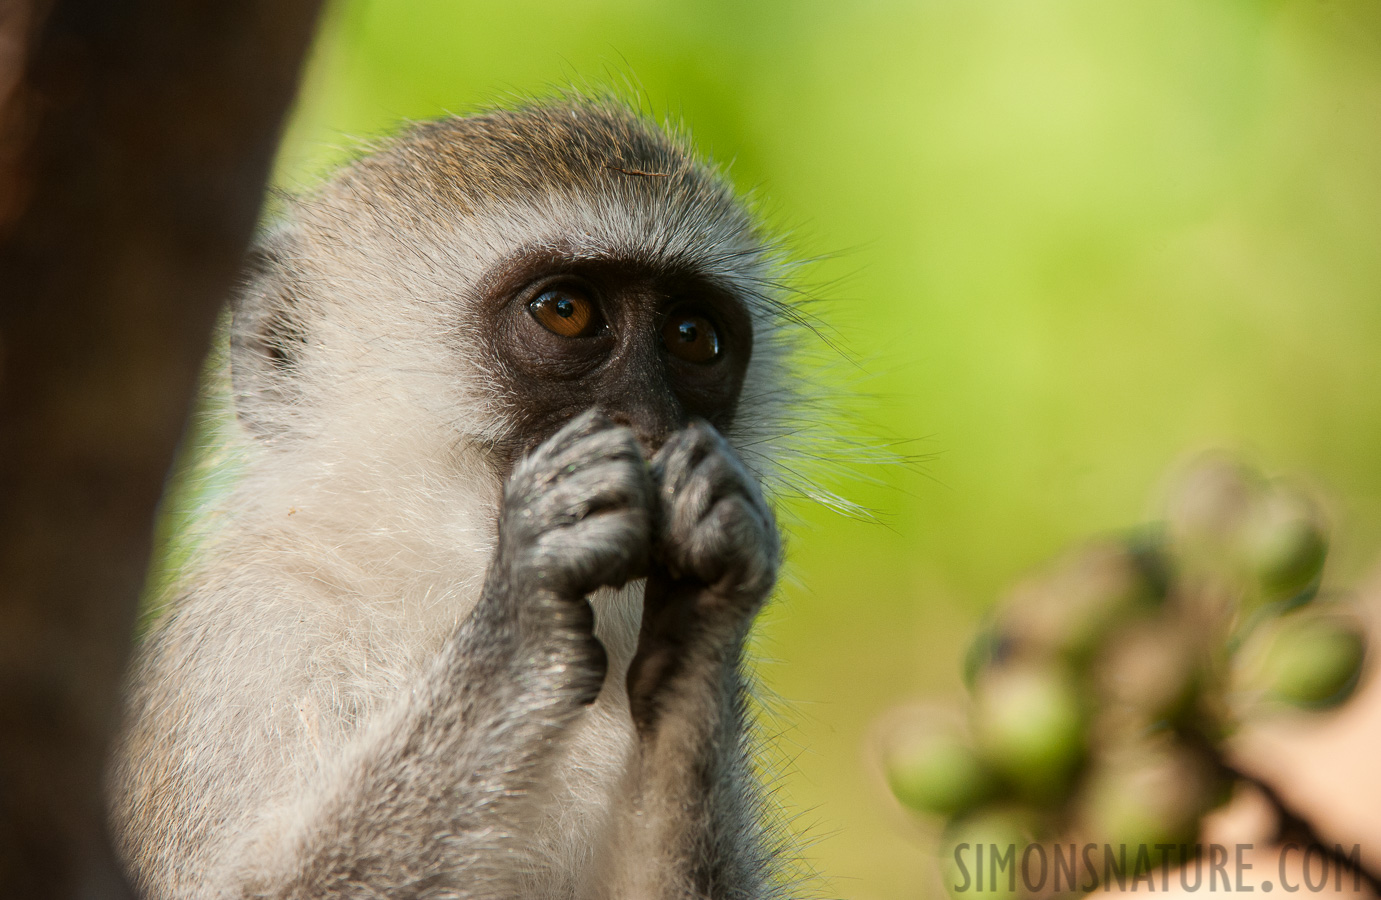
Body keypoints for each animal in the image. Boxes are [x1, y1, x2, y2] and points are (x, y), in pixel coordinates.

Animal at [113, 102, 812, 894]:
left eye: (693, 337)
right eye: (565, 311)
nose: (652, 429)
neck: (422, 599)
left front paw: (702, 630)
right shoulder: (246, 637)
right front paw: (522, 617)